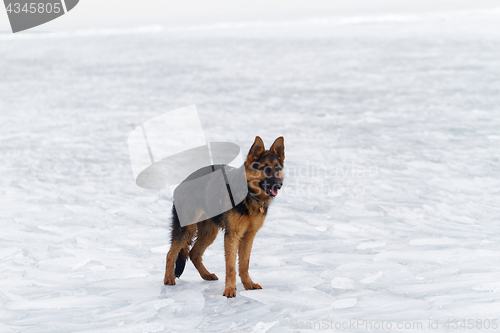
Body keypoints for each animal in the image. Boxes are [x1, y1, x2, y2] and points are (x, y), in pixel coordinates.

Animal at [164, 136, 286, 296]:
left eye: (278, 169)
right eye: (265, 169)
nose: (279, 184)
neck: (248, 194)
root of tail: (183, 182)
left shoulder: (248, 236)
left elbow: (244, 264)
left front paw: (248, 284)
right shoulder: (232, 235)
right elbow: (231, 267)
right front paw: (229, 290)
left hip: (209, 233)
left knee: (193, 253)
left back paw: (206, 275)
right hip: (187, 231)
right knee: (171, 253)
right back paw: (168, 279)